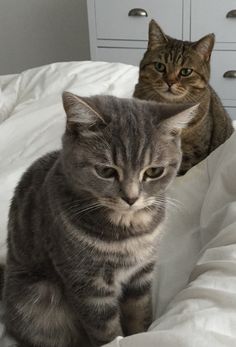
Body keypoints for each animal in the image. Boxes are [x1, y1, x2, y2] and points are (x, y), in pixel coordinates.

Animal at [2, 92, 196, 347]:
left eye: (154, 171)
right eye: (106, 171)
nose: (131, 197)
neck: (128, 229)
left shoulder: (141, 274)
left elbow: (139, 313)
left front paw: (141, 335)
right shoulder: (88, 285)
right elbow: (106, 330)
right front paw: (117, 339)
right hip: (37, 299)